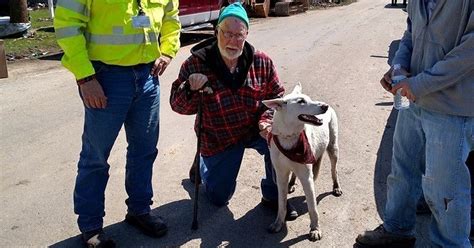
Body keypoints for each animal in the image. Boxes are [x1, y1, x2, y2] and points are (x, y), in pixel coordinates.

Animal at [262, 83, 340, 240]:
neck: (289, 137)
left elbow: (312, 207)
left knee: (334, 169)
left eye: (308, 99)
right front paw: (278, 223)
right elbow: (281, 203)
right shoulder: (280, 175)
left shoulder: (306, 177)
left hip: (333, 148)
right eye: (301, 101)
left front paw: (315, 229)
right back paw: (292, 183)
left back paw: (336, 186)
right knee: (294, 173)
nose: (325, 106)